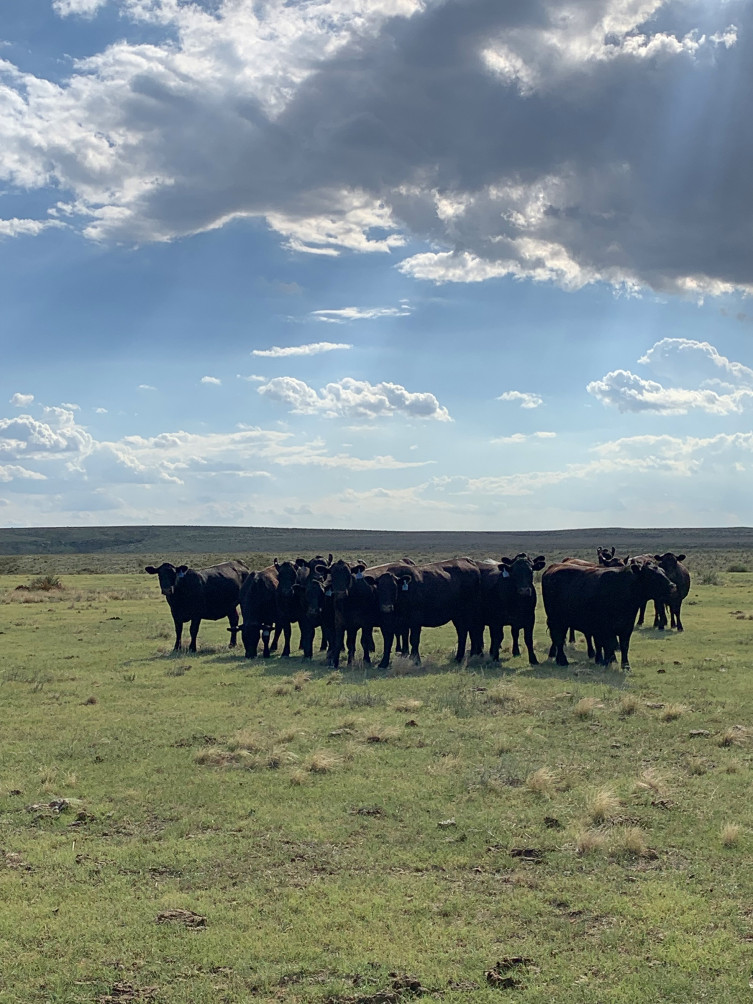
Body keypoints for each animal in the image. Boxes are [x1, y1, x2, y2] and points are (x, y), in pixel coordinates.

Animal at [542, 559, 677, 672]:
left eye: (663, 571)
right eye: (652, 575)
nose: (673, 586)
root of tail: (552, 567)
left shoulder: (626, 626)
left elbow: (623, 645)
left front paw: (625, 666)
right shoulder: (606, 628)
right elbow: (608, 645)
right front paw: (607, 662)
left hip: (563, 621)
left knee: (558, 638)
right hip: (555, 619)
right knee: (558, 638)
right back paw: (562, 660)